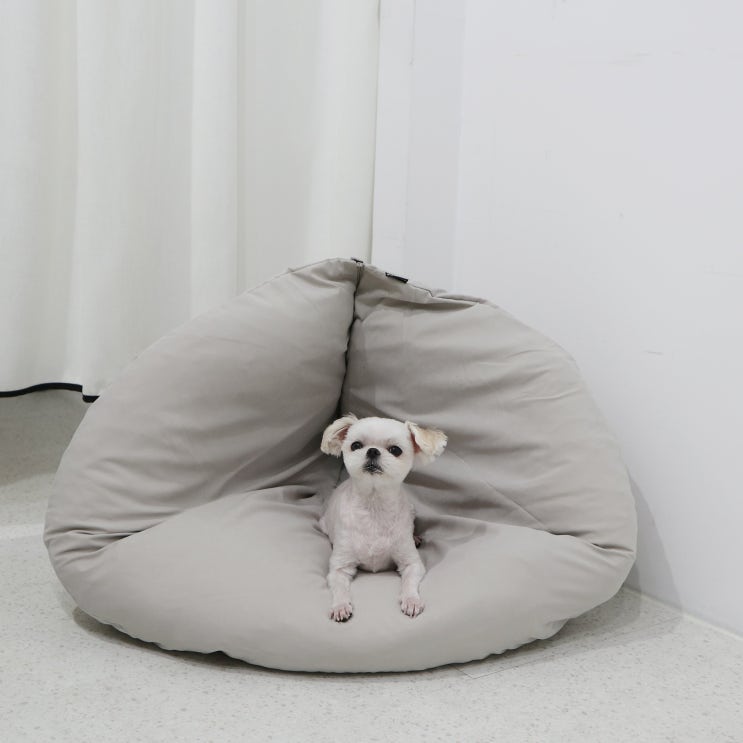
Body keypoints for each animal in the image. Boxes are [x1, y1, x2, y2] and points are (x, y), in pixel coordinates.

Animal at [318, 414, 447, 622]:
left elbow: (409, 581)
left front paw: (411, 600)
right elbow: (339, 587)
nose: (372, 451)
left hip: (411, 510)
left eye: (395, 450)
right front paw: (340, 606)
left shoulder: (412, 563)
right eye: (356, 445)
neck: (374, 506)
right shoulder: (339, 567)